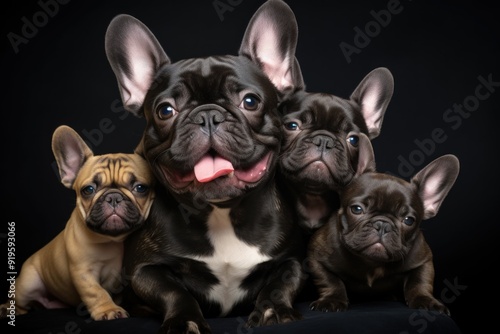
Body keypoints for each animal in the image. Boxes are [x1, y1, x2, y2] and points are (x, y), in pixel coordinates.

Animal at [0, 125, 154, 320]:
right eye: (88, 190)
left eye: (140, 188)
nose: (113, 197)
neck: (113, 240)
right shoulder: (83, 272)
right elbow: (96, 292)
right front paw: (108, 310)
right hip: (27, 283)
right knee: (19, 301)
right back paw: (8, 309)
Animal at [308, 142, 460, 316]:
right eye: (357, 209)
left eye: (408, 220)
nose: (383, 224)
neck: (372, 262)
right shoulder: (316, 256)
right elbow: (329, 280)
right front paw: (331, 299)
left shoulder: (424, 260)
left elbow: (420, 282)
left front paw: (426, 301)